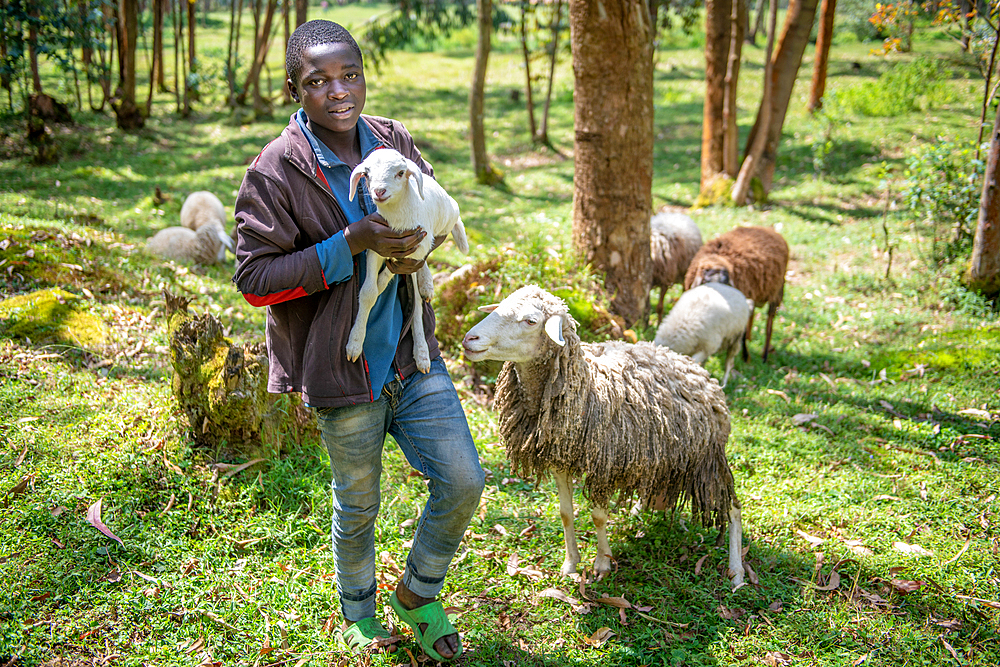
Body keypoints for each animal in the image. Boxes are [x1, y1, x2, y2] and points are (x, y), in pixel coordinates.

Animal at [344, 148, 468, 374]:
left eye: (401, 173)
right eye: (366, 173)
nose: (379, 191)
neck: (397, 217)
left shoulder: (412, 253)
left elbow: (396, 283)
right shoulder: (376, 248)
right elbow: (368, 293)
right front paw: (354, 344)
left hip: (446, 220)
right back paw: (426, 284)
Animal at [460, 288, 744, 588]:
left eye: (530, 321)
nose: (469, 339)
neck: (586, 390)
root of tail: (699, 371)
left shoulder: (602, 465)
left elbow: (598, 517)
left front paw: (602, 564)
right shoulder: (560, 460)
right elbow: (565, 514)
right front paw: (570, 564)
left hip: (708, 459)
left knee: (734, 508)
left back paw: (736, 571)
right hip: (665, 456)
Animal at [680, 227, 788, 362]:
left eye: (725, 283)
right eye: (708, 283)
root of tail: (769, 230)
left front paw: (746, 356)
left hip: (777, 292)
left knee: (769, 324)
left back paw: (764, 356)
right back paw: (750, 338)